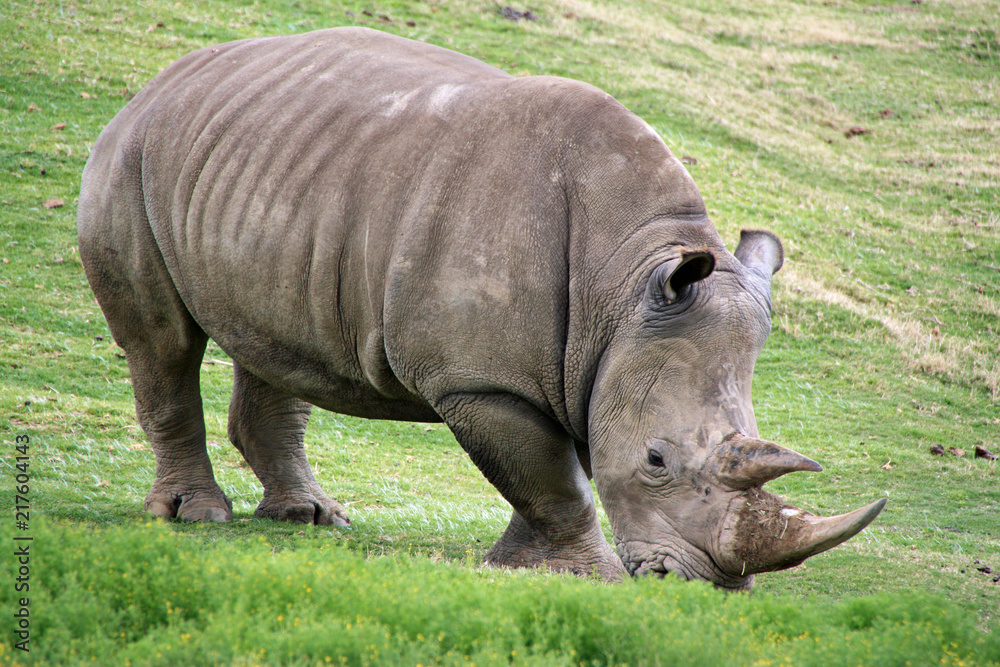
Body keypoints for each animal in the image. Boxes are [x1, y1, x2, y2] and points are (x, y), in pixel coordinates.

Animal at [78, 27, 884, 588]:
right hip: (131, 156)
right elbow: (552, 478)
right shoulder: (484, 381)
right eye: (657, 460)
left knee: (271, 340)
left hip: (263, 168)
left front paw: (516, 566)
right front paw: (594, 576)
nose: (708, 583)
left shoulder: (584, 361)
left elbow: (556, 472)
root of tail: (162, 81)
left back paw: (310, 519)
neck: (624, 283)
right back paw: (194, 516)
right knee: (163, 343)